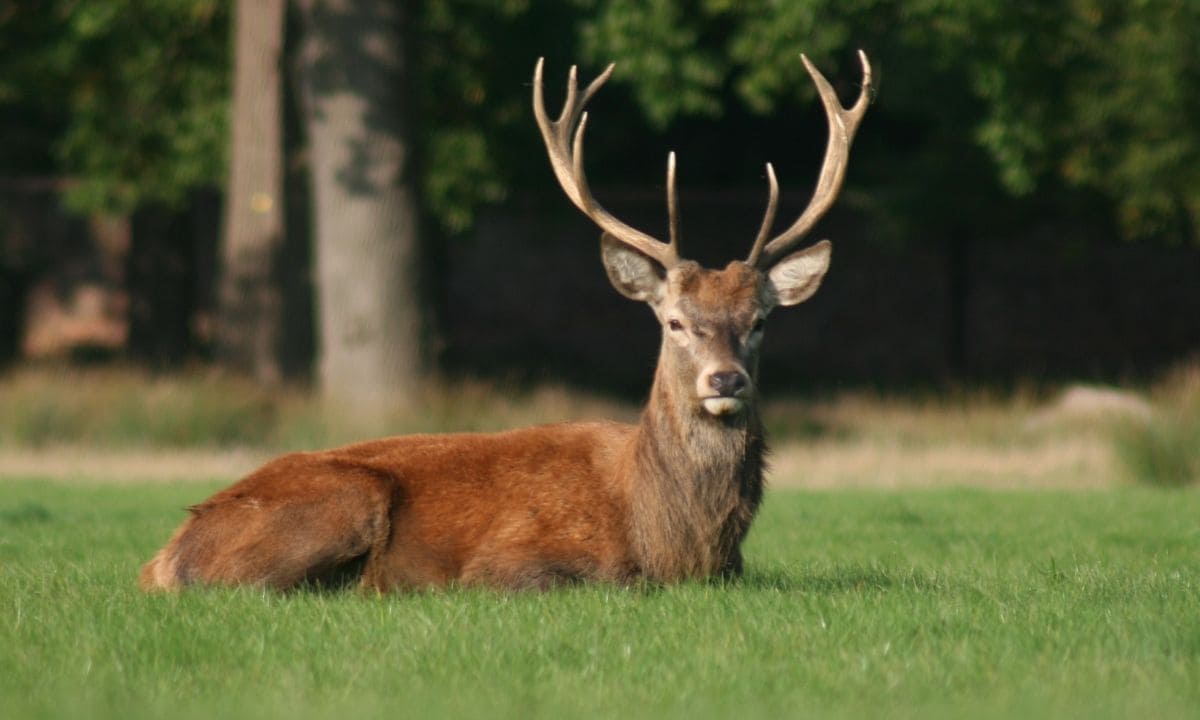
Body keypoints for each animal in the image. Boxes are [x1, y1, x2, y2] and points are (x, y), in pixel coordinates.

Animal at [140, 51, 871, 593]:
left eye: (760, 320)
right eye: (673, 321)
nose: (725, 381)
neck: (674, 541)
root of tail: (162, 557)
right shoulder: (512, 560)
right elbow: (596, 579)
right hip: (343, 499)